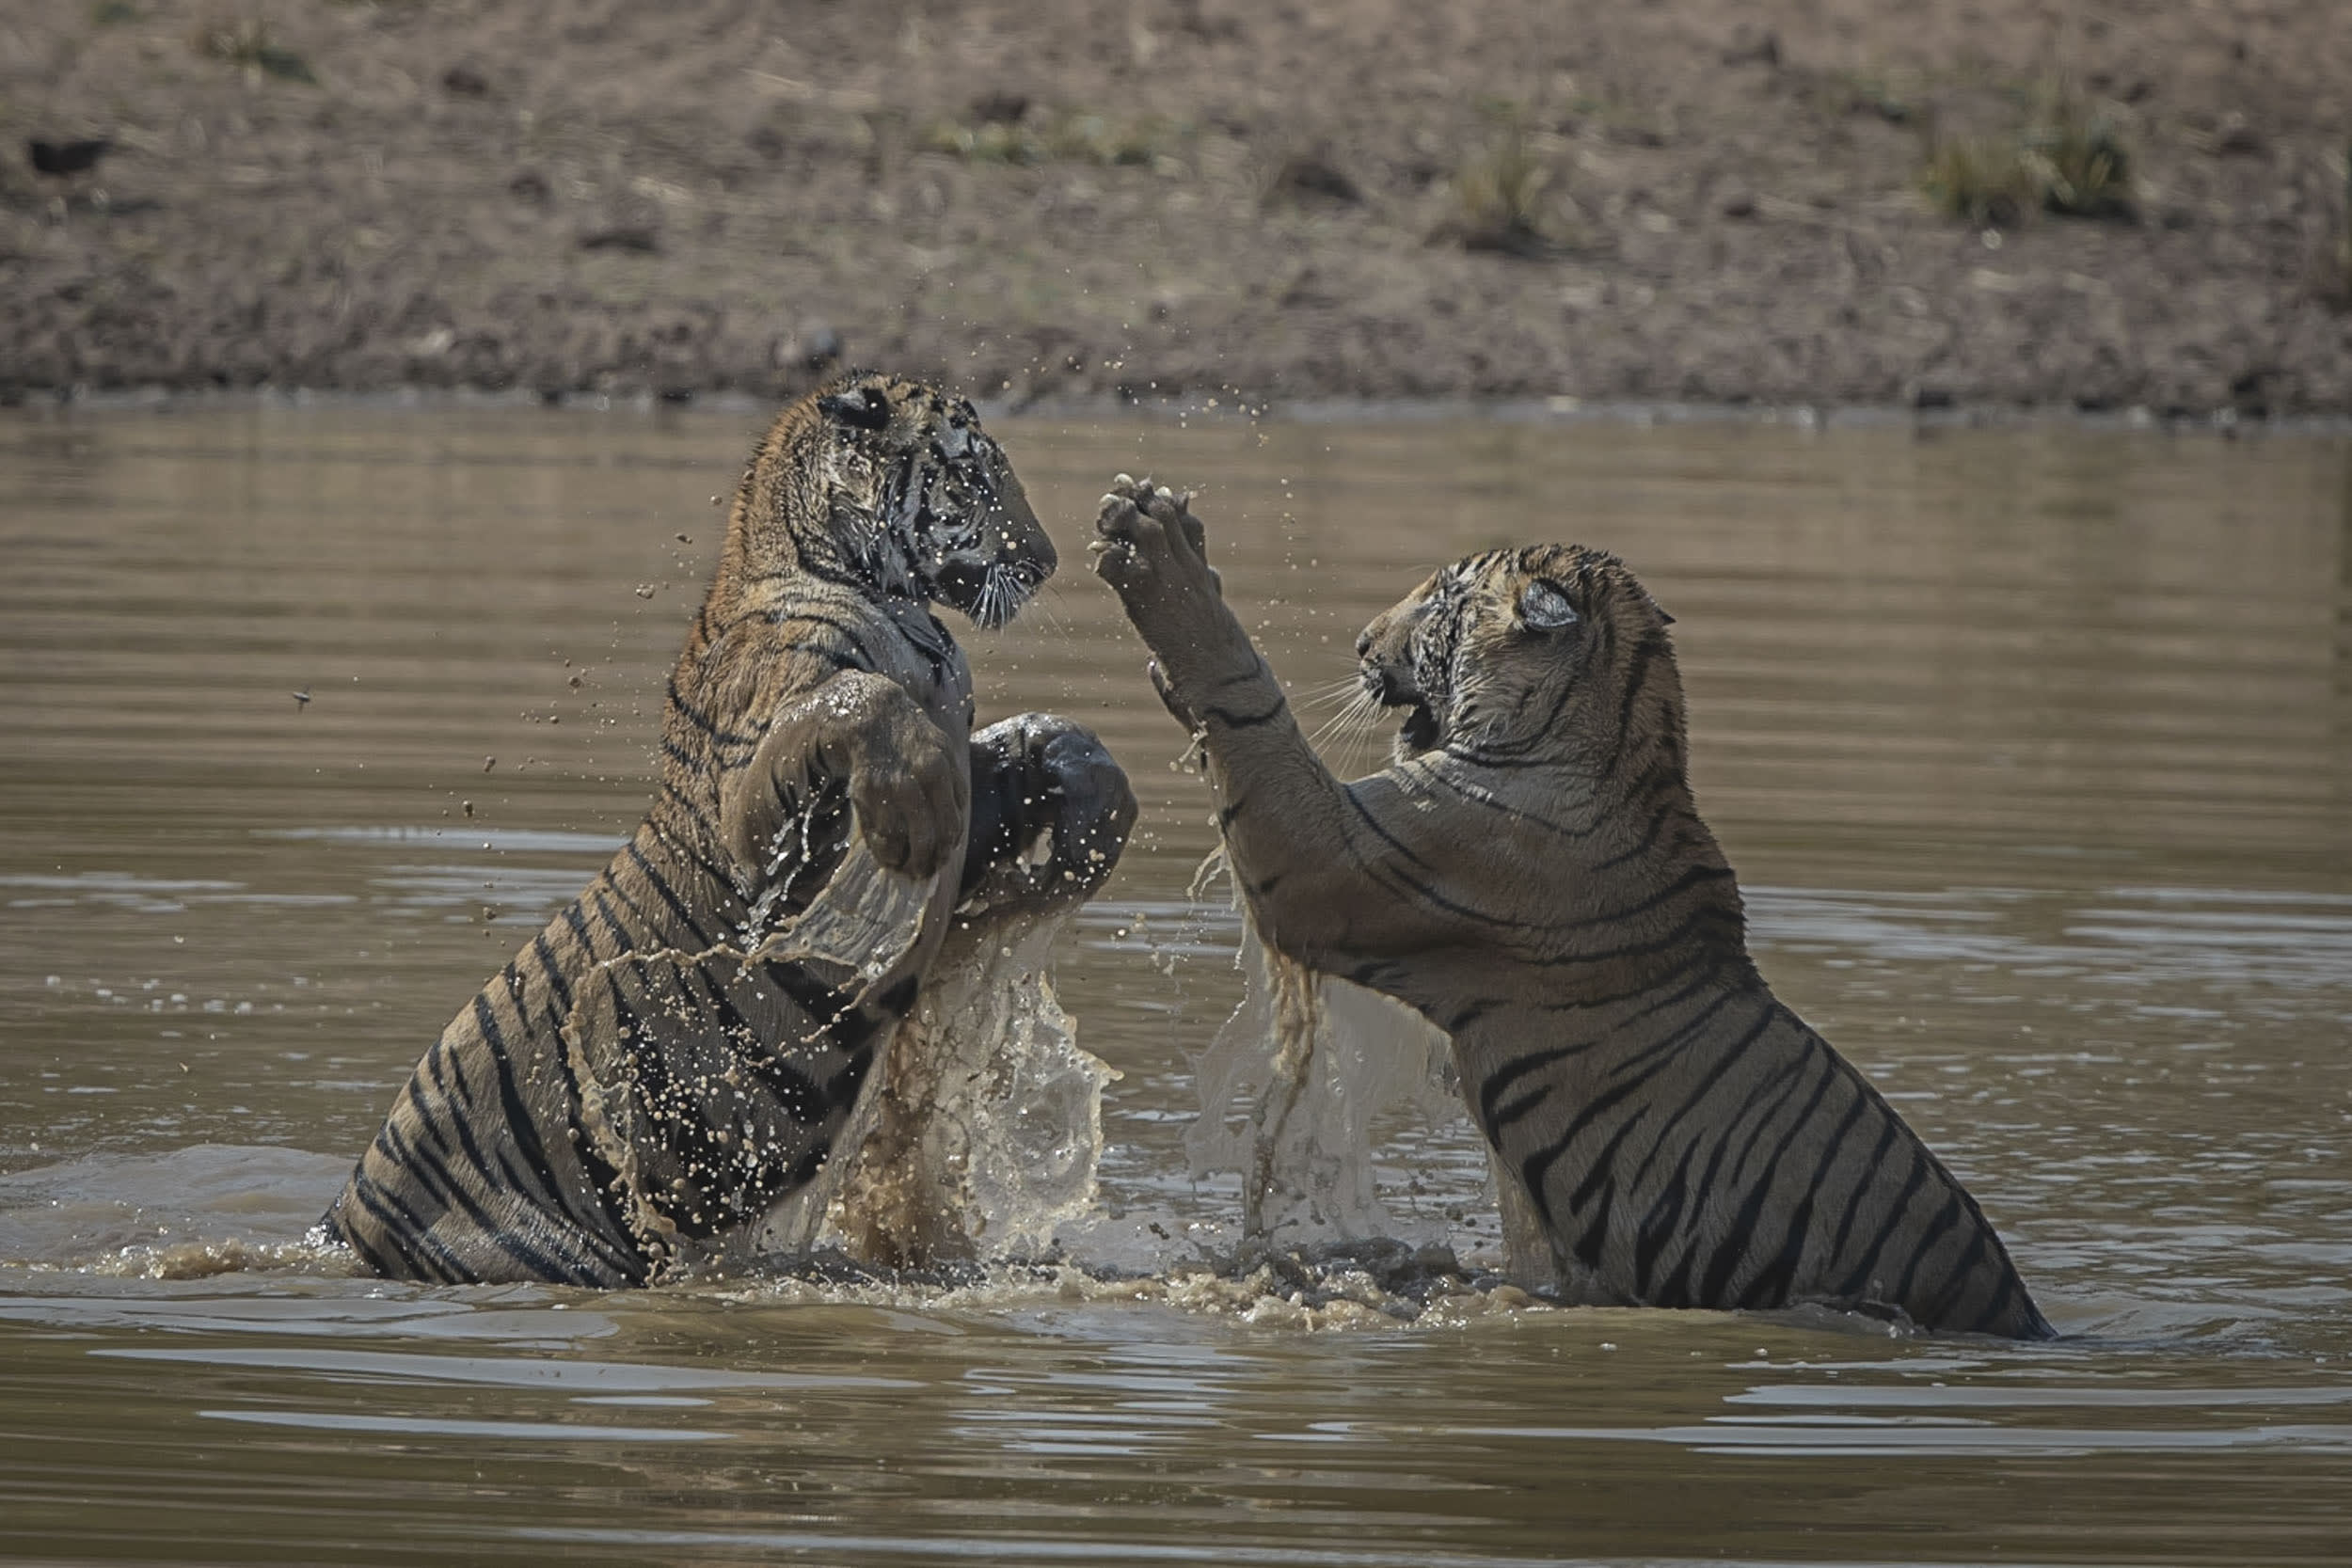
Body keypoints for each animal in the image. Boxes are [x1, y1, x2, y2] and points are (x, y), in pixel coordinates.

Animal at [326, 375, 1134, 1288]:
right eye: (971, 477)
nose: (1047, 562)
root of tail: (342, 1230)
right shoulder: (757, 804)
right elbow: (862, 701)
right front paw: (918, 825)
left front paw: (1087, 782)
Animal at [1091, 474, 2051, 1335]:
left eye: (1440, 597)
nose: (1361, 644)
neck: (1611, 737)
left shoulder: (1332, 859)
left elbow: (1252, 711)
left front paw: (1160, 553)